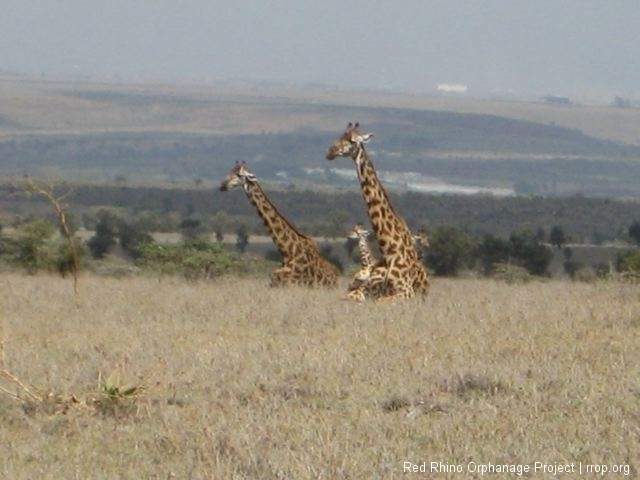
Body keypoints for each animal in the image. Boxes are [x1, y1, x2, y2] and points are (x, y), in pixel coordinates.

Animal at [324, 123, 430, 300]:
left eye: (352, 140)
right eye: (341, 136)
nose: (330, 151)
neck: (388, 250)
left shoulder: (404, 292)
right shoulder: (369, 292)